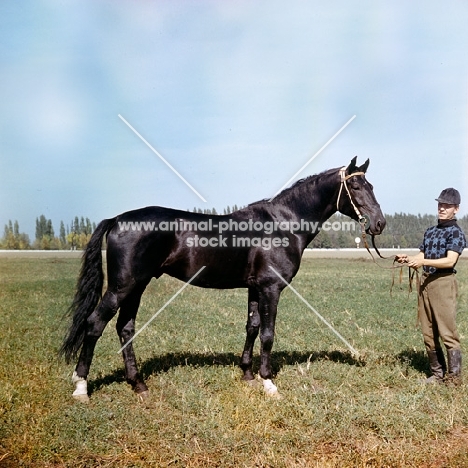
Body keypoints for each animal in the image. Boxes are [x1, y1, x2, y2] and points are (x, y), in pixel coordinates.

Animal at [60, 154, 386, 402]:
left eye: (371, 185)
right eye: (355, 186)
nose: (379, 223)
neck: (283, 223)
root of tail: (116, 219)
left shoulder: (255, 288)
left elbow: (252, 328)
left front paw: (248, 375)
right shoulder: (271, 288)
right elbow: (268, 334)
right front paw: (269, 383)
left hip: (136, 286)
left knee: (125, 328)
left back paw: (138, 384)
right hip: (122, 287)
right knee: (95, 324)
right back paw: (81, 387)